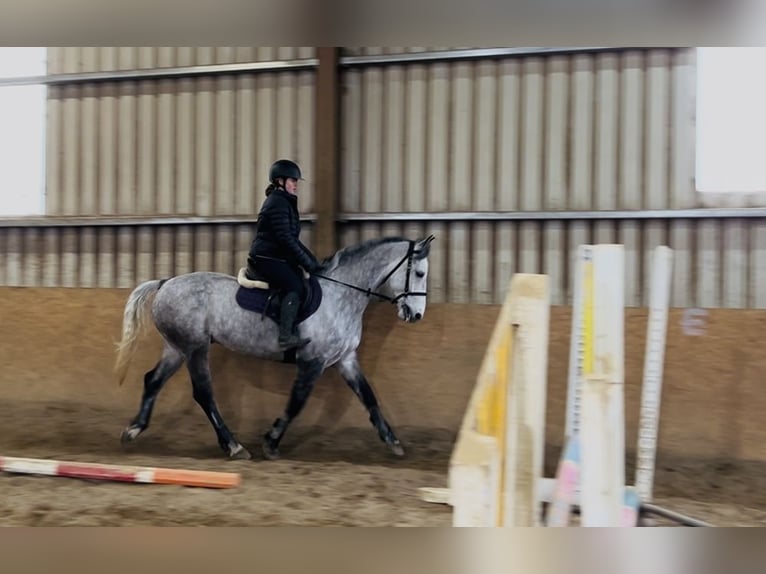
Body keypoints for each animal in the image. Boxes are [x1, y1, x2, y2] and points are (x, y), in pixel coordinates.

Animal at [113, 234, 435, 461]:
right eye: (419, 273)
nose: (417, 315)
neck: (342, 293)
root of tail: (166, 282)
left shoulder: (345, 359)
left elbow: (368, 396)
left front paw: (393, 442)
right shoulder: (314, 362)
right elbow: (296, 402)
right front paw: (271, 441)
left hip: (177, 347)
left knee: (153, 380)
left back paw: (134, 429)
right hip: (195, 348)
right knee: (203, 393)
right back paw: (234, 446)